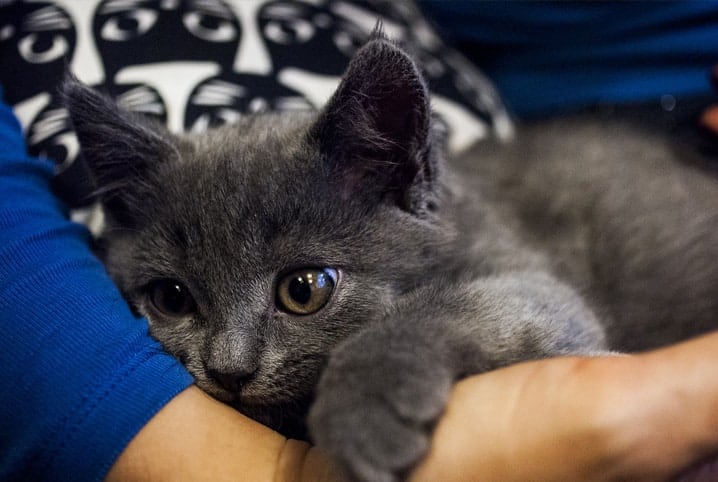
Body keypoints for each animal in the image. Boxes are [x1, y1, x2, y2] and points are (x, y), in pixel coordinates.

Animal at [63, 34, 718, 482]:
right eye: (171, 298)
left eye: (305, 289)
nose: (230, 370)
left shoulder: (538, 280)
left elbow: (463, 306)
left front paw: (363, 411)